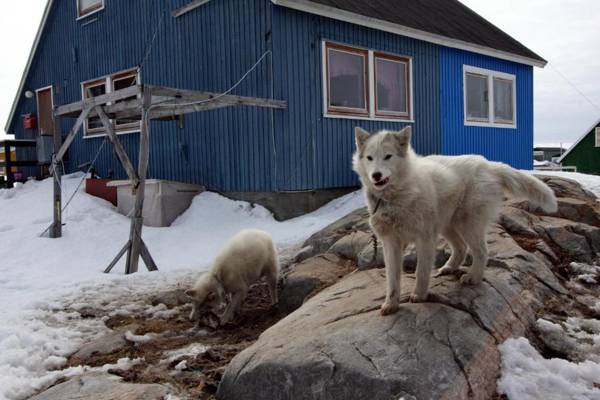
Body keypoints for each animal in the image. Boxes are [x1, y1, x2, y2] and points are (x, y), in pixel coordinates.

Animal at [352, 126, 556, 316]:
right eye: (369, 158)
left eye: (388, 156)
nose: (376, 175)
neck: (395, 196)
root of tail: (487, 164)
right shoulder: (391, 243)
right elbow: (392, 278)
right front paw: (391, 304)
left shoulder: (425, 238)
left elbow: (421, 271)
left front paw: (419, 295)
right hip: (448, 226)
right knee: (461, 248)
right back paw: (450, 267)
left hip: (468, 225)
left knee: (481, 251)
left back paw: (473, 277)